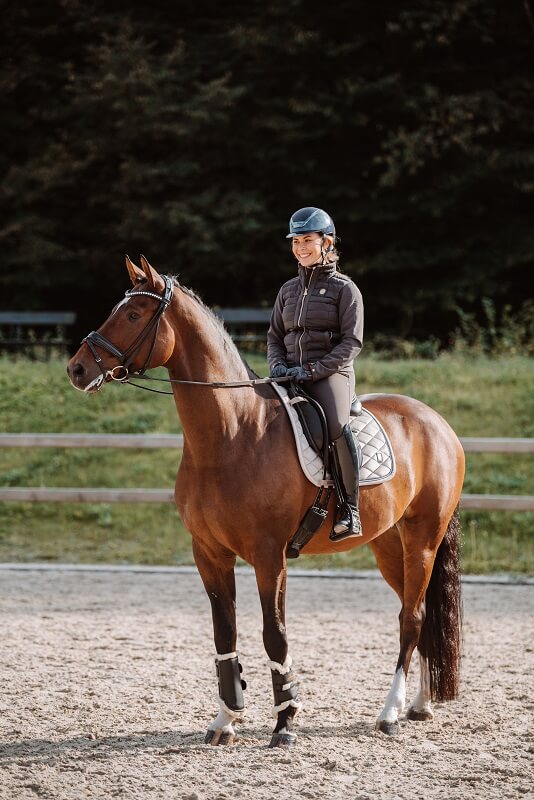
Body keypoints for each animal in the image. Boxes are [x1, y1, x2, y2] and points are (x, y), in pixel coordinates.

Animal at [69, 258, 466, 752]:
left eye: (134, 314)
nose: (77, 369)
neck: (232, 434)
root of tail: (437, 422)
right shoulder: (209, 553)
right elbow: (225, 631)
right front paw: (226, 718)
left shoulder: (268, 555)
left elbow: (273, 634)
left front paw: (285, 722)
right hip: (390, 546)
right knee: (422, 612)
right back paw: (420, 705)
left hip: (423, 538)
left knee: (411, 618)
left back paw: (390, 712)